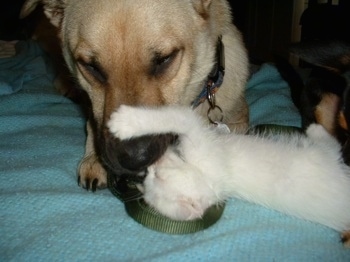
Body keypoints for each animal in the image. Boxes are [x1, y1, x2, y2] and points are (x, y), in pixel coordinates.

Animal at [107, 105, 350, 246]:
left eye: (157, 177)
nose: (148, 170)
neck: (213, 183)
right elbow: (181, 117)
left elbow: (180, 116)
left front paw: (126, 122)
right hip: (322, 157)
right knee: (332, 146)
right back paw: (316, 130)